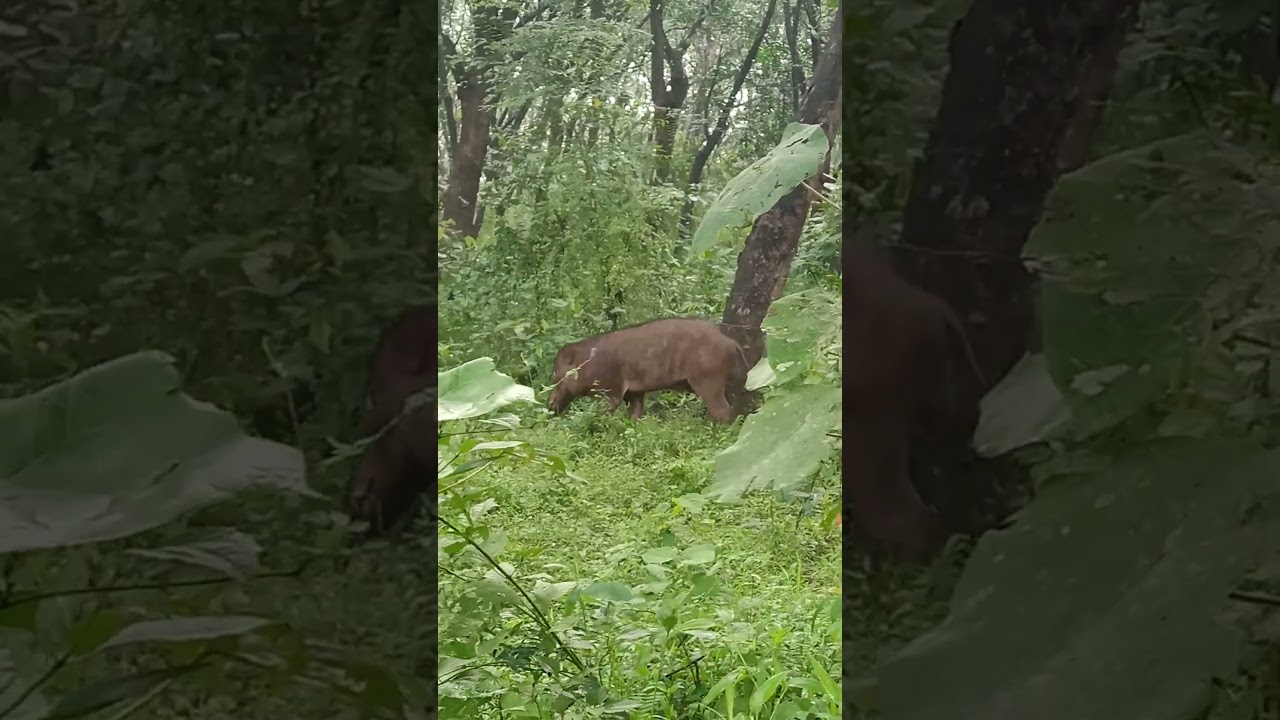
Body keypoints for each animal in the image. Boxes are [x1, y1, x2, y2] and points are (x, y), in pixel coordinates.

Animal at [547, 318, 748, 424]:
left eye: (556, 375)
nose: (549, 403)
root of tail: (732, 343)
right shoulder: (635, 392)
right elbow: (635, 414)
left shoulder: (611, 389)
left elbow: (606, 410)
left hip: (707, 380)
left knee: (723, 409)